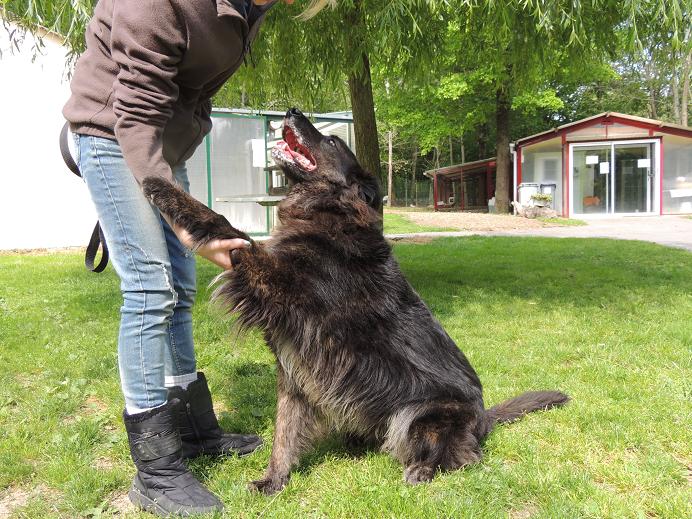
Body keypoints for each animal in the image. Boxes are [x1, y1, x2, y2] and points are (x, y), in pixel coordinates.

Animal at [143, 106, 572, 496]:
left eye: (332, 142)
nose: (291, 110)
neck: (330, 211)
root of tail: (484, 418)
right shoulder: (294, 373)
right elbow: (284, 433)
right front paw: (274, 481)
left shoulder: (274, 277)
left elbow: (223, 224)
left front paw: (159, 185)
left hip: (418, 415)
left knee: (464, 456)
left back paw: (422, 470)